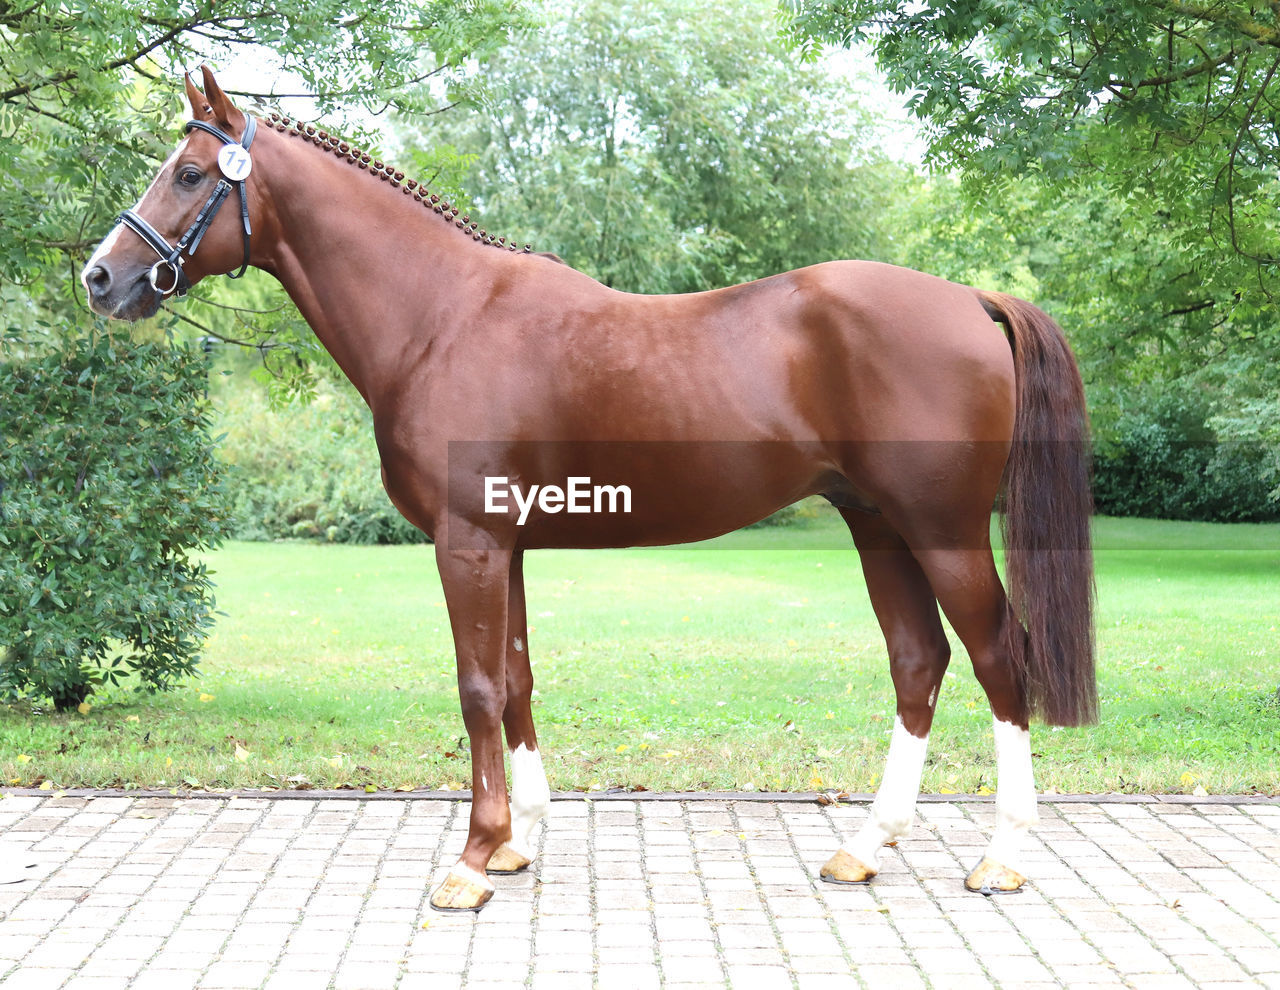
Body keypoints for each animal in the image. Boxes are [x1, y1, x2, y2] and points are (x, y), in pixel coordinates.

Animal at [85, 67, 1095, 911]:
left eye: (188, 174)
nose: (101, 277)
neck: (442, 317)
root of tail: (972, 300)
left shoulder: (468, 542)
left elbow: (476, 689)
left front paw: (471, 859)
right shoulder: (507, 544)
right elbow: (517, 679)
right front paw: (516, 844)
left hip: (943, 530)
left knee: (1001, 658)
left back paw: (1001, 857)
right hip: (878, 523)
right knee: (918, 661)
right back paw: (863, 848)